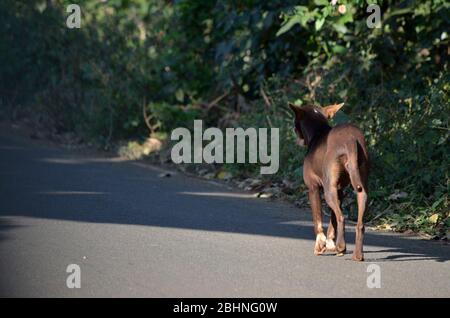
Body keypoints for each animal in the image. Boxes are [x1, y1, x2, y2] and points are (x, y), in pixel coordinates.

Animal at [288, 102, 370, 260]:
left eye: (295, 123)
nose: (293, 130)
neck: (318, 132)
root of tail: (351, 139)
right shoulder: (339, 191)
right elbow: (332, 220)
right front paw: (331, 242)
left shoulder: (313, 189)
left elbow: (318, 220)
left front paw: (320, 245)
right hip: (360, 188)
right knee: (359, 223)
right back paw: (357, 254)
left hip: (328, 192)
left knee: (341, 218)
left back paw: (341, 246)